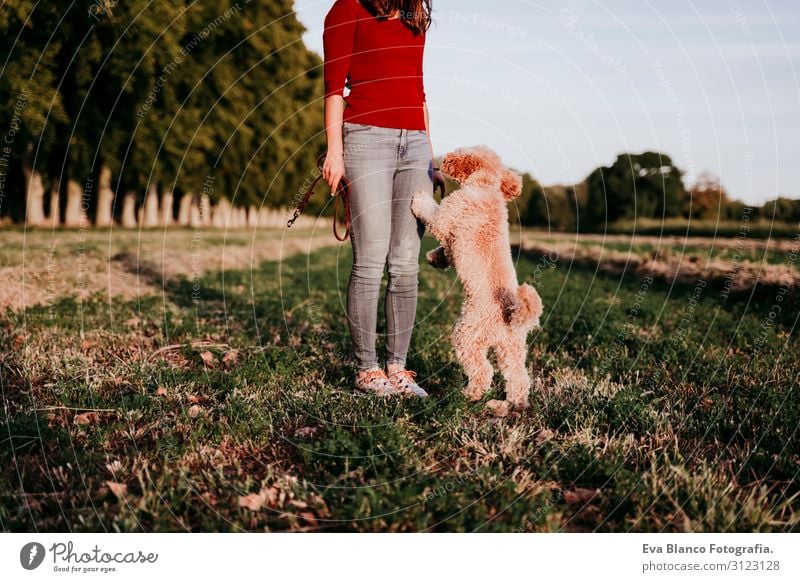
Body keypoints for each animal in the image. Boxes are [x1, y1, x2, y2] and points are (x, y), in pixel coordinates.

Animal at [412, 144, 544, 412]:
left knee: (483, 371)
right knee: (518, 378)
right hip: (511, 349)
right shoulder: (451, 237)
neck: (487, 186)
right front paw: (434, 258)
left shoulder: (447, 216)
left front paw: (419, 198)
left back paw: (470, 395)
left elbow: (432, 214)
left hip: (466, 335)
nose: (443, 160)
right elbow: (445, 251)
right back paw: (510, 405)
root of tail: (510, 313)